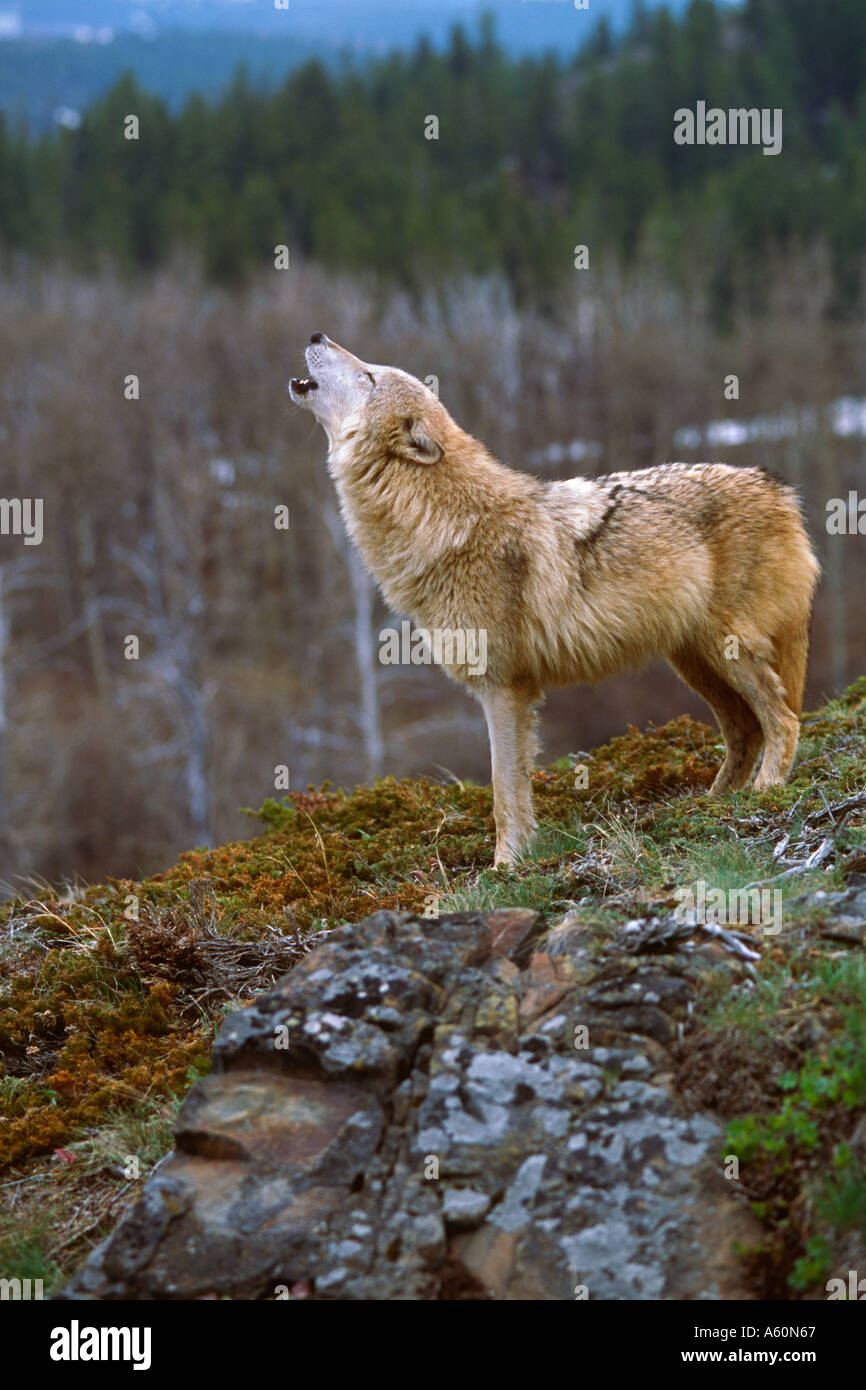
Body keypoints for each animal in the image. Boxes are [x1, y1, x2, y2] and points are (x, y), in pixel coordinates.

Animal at [289, 330, 817, 861]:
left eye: (369, 375)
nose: (316, 335)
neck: (448, 524)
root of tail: (775, 486)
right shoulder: (517, 693)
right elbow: (519, 790)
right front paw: (523, 854)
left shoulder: (501, 687)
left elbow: (502, 792)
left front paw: (503, 866)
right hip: (695, 664)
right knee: (746, 732)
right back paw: (706, 805)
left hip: (727, 652)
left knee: (783, 720)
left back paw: (766, 793)